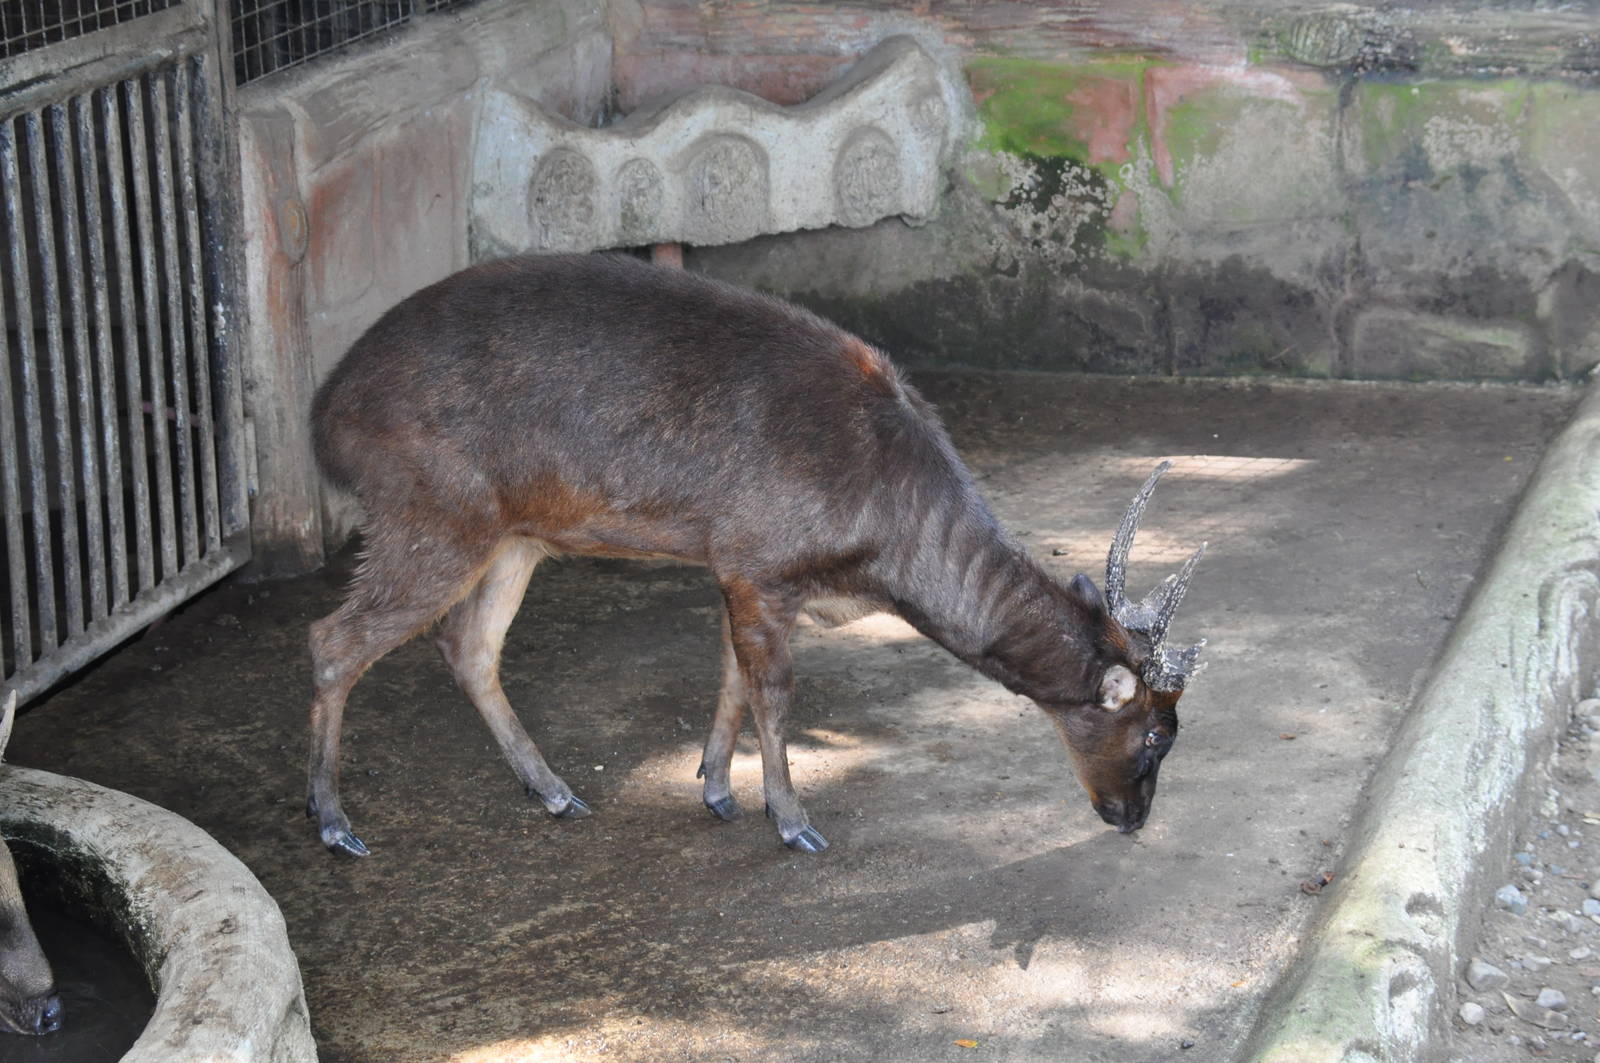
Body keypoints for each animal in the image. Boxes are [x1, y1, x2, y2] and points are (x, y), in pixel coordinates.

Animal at [306, 252, 1205, 857]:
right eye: (1156, 735)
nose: (1133, 817)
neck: (884, 550)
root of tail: (325, 415)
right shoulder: (758, 555)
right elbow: (773, 691)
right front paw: (793, 820)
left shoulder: (738, 566)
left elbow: (732, 676)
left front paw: (715, 788)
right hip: (429, 507)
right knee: (333, 639)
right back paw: (333, 821)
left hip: (514, 532)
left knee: (467, 645)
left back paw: (555, 790)